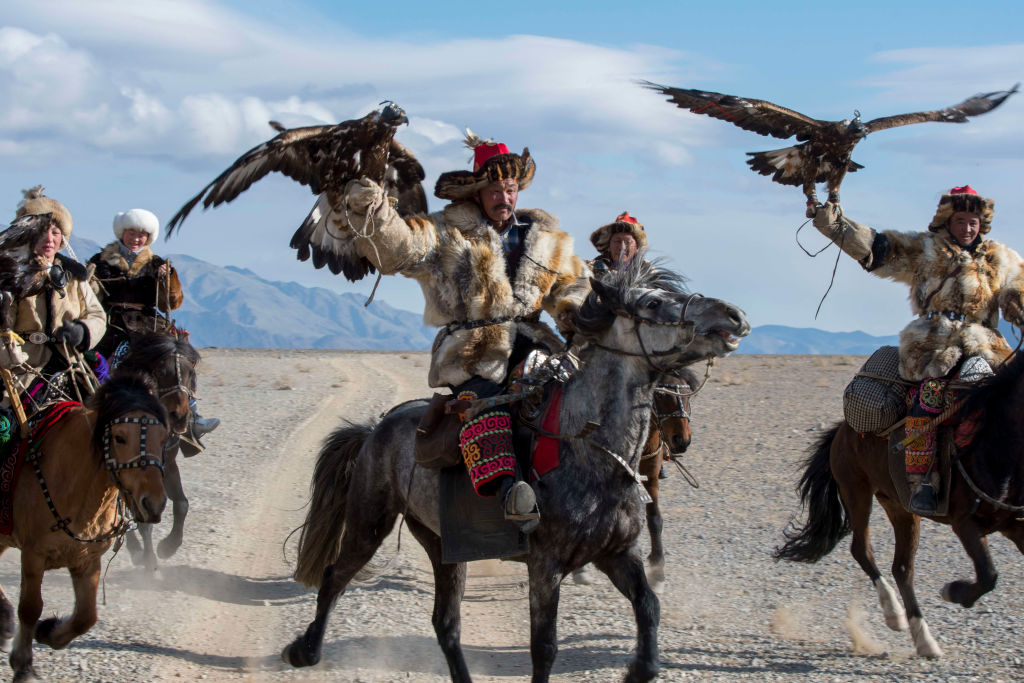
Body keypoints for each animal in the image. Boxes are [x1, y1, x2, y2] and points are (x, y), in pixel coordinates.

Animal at [0, 374, 169, 683]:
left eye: (164, 439)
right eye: (119, 437)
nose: (154, 503)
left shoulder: (87, 559)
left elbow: (86, 617)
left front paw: (49, 631)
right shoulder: (33, 555)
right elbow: (30, 607)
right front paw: (23, 666)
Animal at [115, 331, 200, 573]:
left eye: (191, 373)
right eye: (162, 373)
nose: (179, 416)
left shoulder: (168, 464)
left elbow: (181, 504)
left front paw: (168, 547)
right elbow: (142, 517)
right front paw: (150, 560)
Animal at [284, 266, 749, 683]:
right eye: (651, 302)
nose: (733, 315)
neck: (587, 451)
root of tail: (374, 431)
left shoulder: (617, 555)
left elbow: (649, 608)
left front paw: (638, 669)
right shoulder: (545, 565)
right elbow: (544, 648)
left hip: (441, 543)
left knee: (445, 623)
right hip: (369, 520)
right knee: (334, 577)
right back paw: (304, 651)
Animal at [774, 350, 1024, 659]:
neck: (994, 447)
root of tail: (843, 430)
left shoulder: (1016, 526)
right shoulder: (965, 523)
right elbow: (989, 574)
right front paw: (953, 591)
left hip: (900, 507)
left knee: (902, 568)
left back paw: (923, 640)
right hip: (856, 491)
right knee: (863, 551)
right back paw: (896, 616)